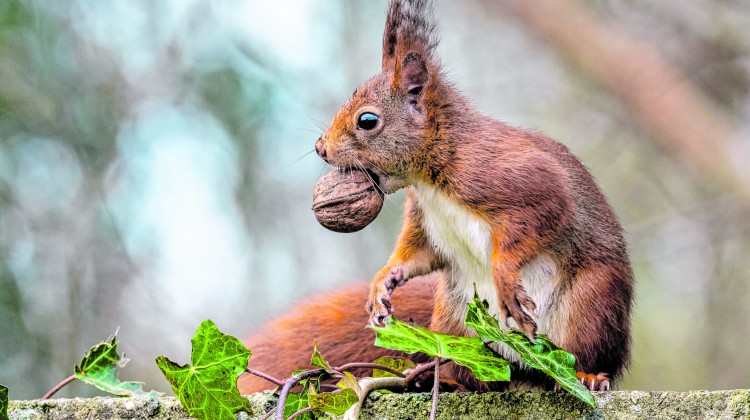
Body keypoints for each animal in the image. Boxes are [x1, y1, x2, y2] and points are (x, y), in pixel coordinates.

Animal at [241, 0, 636, 394]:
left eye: (367, 121)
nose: (320, 148)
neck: (429, 178)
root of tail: (525, 367)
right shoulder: (424, 218)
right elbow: (418, 253)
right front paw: (383, 280)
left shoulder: (522, 181)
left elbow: (540, 217)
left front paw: (505, 276)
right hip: (455, 318)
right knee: (471, 369)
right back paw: (444, 379)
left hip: (590, 304)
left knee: (584, 352)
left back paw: (586, 377)